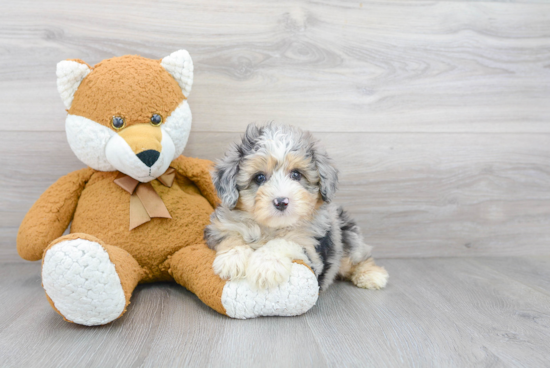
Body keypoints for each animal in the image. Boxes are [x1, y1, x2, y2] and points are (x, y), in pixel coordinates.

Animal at [205, 125, 390, 292]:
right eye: (259, 177)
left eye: (296, 174)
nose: (281, 202)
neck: (271, 228)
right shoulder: (220, 228)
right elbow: (232, 236)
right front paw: (232, 259)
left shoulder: (311, 250)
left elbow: (283, 242)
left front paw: (267, 266)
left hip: (348, 237)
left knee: (358, 257)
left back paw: (371, 275)